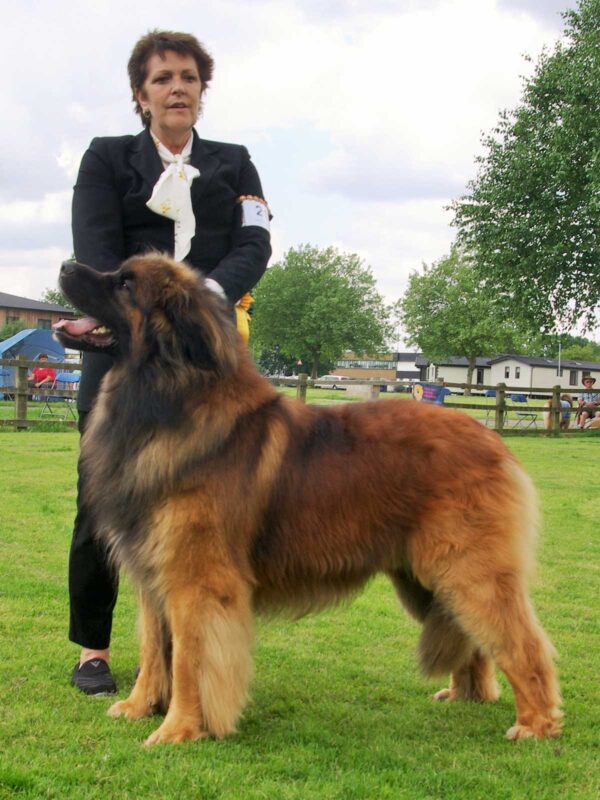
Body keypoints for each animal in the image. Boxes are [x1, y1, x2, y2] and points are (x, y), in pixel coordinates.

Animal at [54, 255, 560, 744]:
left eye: (124, 282)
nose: (65, 265)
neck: (166, 395)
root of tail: (493, 439)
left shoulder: (195, 583)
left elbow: (187, 663)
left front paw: (177, 729)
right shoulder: (151, 576)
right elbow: (152, 649)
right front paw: (140, 707)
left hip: (467, 571)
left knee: (524, 644)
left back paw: (536, 724)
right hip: (426, 579)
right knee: (471, 637)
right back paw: (466, 695)